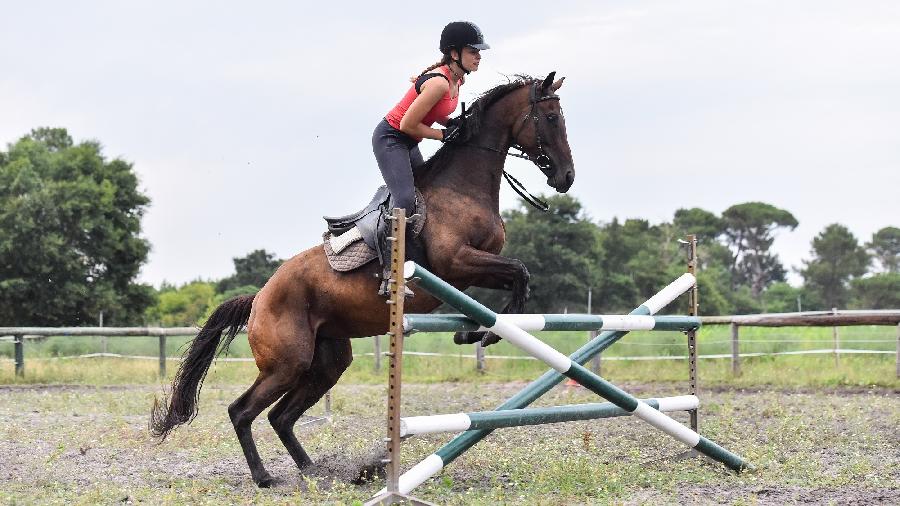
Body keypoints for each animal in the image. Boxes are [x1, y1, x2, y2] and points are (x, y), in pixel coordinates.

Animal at [153, 71, 576, 486]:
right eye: (551, 117)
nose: (566, 177)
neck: (462, 188)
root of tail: (258, 298)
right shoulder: (457, 262)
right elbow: (519, 273)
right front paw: (485, 335)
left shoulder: (474, 268)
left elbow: (510, 283)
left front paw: (473, 333)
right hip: (287, 363)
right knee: (242, 411)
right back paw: (264, 476)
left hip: (326, 362)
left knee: (281, 416)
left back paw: (314, 470)